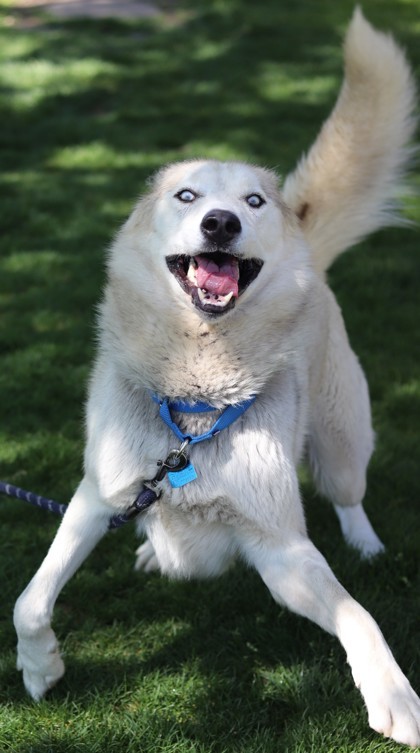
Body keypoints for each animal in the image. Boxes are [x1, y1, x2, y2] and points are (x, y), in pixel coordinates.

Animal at [13, 8, 420, 748]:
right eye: (187, 195)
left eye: (253, 201)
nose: (222, 222)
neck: (196, 397)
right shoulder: (98, 494)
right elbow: (29, 600)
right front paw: (40, 668)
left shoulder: (281, 549)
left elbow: (358, 613)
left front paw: (395, 696)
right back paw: (152, 552)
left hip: (342, 438)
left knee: (349, 495)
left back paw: (369, 545)